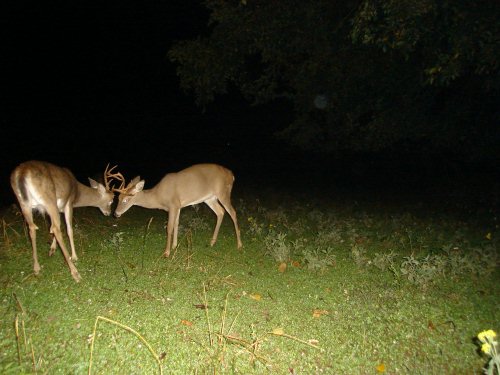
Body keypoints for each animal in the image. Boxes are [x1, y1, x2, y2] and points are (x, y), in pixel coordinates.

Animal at [113, 163, 242, 258]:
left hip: (223, 192)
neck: (158, 196)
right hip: (209, 198)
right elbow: (176, 223)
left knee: (233, 212)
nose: (116, 213)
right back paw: (212, 242)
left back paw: (239, 245)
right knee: (220, 212)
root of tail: (232, 175)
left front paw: (167, 252)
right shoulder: (178, 206)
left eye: (126, 200)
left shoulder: (173, 204)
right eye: (118, 198)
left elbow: (169, 227)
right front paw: (174, 246)